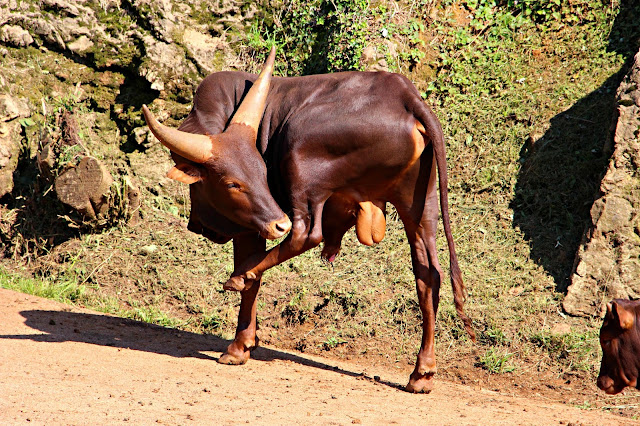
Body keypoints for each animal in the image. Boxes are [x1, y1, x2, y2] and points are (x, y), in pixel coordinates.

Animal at [144, 47, 476, 392]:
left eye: (256, 175)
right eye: (233, 182)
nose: (278, 222)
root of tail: (406, 96)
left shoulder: (251, 225)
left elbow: (254, 274)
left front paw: (238, 346)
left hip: (301, 161)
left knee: (306, 234)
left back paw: (240, 276)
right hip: (421, 208)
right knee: (428, 276)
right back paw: (422, 372)